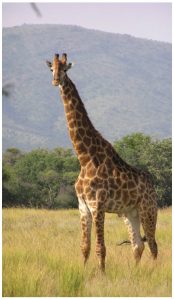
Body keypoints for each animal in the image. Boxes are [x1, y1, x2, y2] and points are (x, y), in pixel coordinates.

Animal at [46, 52, 158, 270]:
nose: (55, 81)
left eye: (64, 69)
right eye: (52, 69)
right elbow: (85, 247)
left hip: (148, 211)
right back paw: (135, 273)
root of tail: (153, 188)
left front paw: (101, 274)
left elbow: (100, 247)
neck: (84, 158)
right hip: (129, 213)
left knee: (153, 245)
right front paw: (83, 272)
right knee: (137, 245)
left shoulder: (98, 205)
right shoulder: (83, 206)